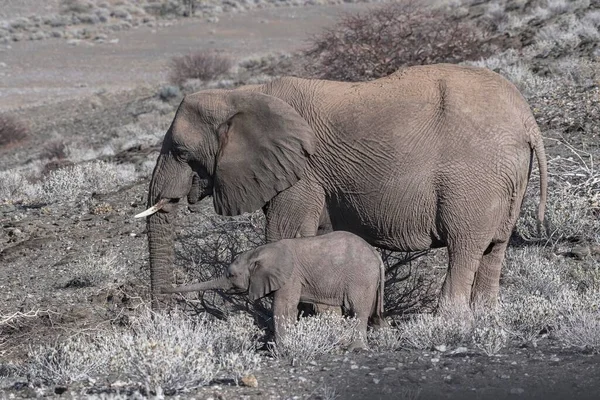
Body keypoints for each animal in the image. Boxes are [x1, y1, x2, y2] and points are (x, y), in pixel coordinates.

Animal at [139, 64, 548, 310]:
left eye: (181, 152)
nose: (164, 315)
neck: (243, 94)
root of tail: (527, 120)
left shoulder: (303, 171)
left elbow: (282, 233)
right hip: (507, 178)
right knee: (494, 249)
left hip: (474, 177)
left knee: (464, 247)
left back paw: (448, 325)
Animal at [164, 230, 386, 348]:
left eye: (231, 275)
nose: (164, 289)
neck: (257, 252)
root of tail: (376, 255)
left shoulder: (290, 276)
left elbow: (283, 307)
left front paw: (280, 348)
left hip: (361, 277)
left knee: (358, 310)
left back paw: (356, 349)